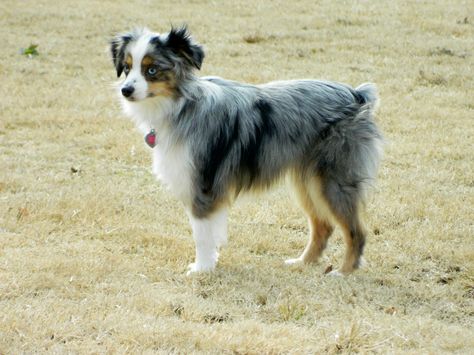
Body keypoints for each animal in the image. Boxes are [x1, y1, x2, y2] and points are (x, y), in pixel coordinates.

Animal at [111, 26, 386, 276]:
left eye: (152, 70)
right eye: (127, 68)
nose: (125, 90)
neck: (182, 105)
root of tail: (356, 94)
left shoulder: (203, 184)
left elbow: (201, 234)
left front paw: (202, 269)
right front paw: (209, 264)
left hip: (333, 181)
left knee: (356, 231)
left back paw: (344, 272)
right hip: (307, 180)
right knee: (323, 226)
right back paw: (302, 262)